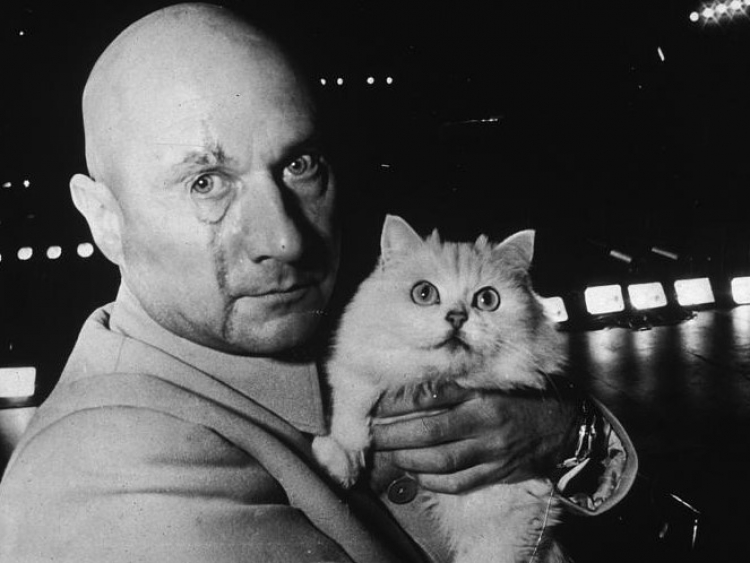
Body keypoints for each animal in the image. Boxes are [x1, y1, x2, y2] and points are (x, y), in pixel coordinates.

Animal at [312, 214, 569, 563]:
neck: (430, 375)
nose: (457, 317)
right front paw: (339, 462)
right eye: (424, 293)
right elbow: (353, 408)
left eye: (488, 299)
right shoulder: (356, 364)